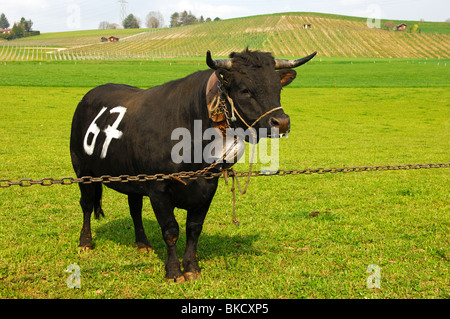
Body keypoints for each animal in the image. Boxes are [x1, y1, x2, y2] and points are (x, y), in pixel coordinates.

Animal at [70, 48, 316, 284]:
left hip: (133, 178)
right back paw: (85, 242)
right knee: (87, 204)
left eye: (278, 88)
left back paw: (142, 244)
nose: (281, 123)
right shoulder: (158, 189)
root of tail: (92, 93)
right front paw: (173, 271)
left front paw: (191, 268)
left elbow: (194, 229)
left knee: (135, 208)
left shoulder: (207, 187)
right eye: (245, 90)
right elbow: (171, 230)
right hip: (82, 170)